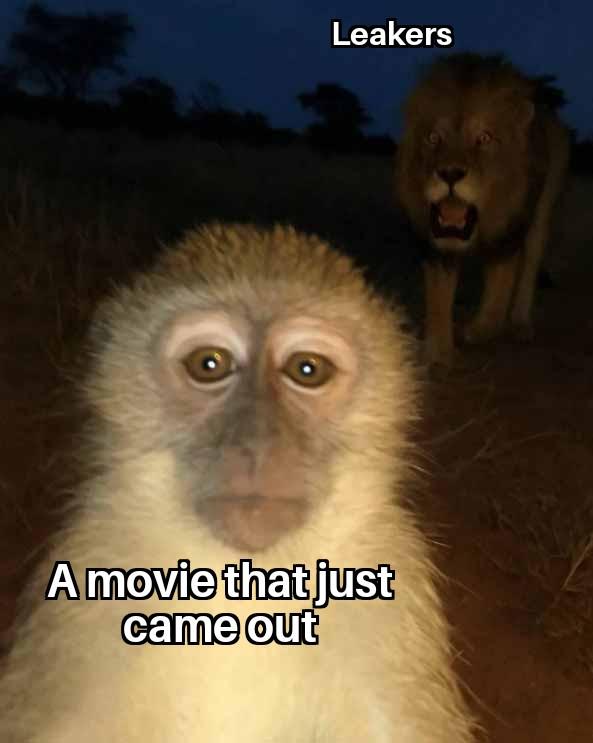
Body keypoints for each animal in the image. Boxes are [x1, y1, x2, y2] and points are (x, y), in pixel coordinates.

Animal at [0, 223, 476, 742]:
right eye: (209, 364)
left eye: (307, 369)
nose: (258, 443)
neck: (243, 587)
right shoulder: (85, 582)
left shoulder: (393, 584)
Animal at [395, 53, 570, 367]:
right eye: (433, 138)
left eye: (484, 138)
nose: (450, 173)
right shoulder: (436, 245)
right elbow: (438, 299)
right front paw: (437, 352)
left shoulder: (509, 234)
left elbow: (498, 296)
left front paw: (477, 330)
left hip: (542, 213)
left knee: (529, 267)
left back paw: (520, 323)